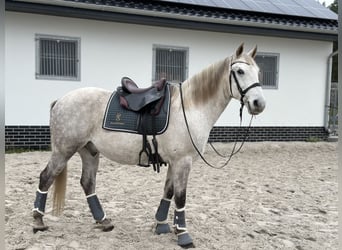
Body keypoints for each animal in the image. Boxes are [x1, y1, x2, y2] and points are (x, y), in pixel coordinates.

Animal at [32, 44, 266, 247]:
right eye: (239, 71)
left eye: (258, 71)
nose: (259, 104)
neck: (190, 108)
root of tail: (61, 100)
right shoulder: (183, 162)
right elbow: (180, 197)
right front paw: (183, 235)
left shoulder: (174, 162)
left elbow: (168, 192)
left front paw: (161, 225)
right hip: (64, 150)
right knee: (46, 178)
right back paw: (38, 222)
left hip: (89, 151)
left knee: (87, 183)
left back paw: (103, 221)